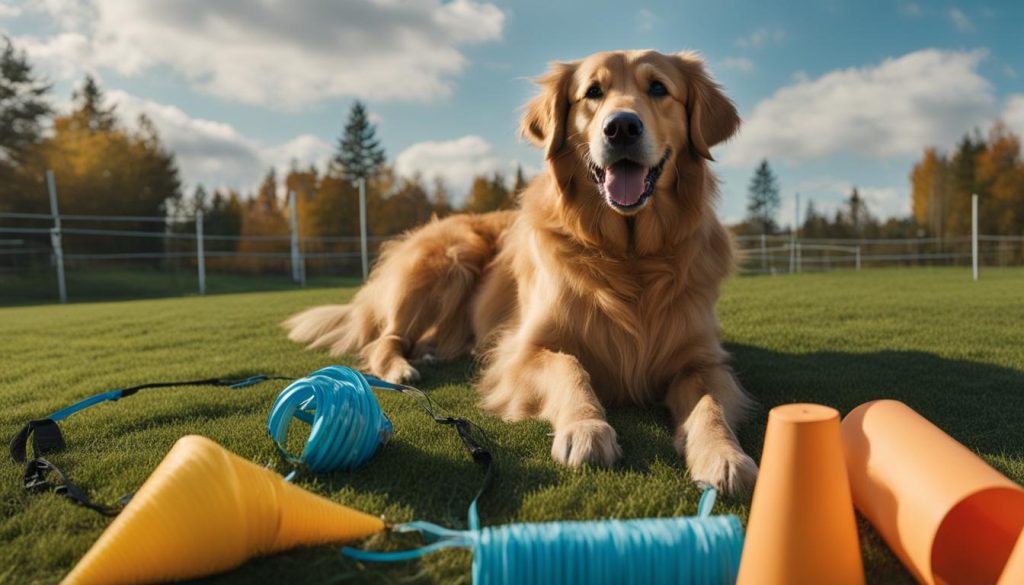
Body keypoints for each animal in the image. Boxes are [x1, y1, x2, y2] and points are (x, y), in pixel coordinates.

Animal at [284, 49, 757, 493]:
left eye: (658, 88)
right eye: (593, 92)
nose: (621, 127)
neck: (629, 257)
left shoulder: (702, 360)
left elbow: (711, 405)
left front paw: (724, 455)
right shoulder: (523, 352)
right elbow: (570, 368)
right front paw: (585, 428)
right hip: (448, 257)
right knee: (386, 338)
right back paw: (400, 369)